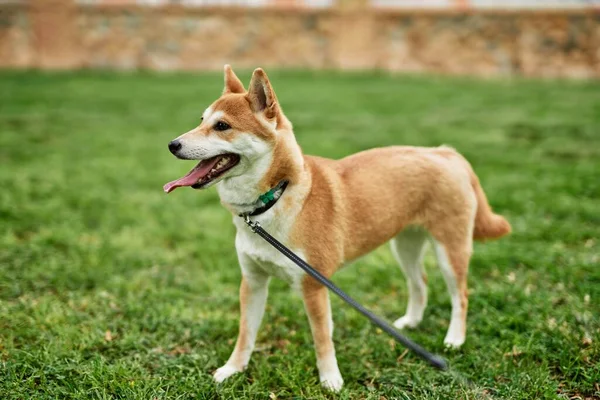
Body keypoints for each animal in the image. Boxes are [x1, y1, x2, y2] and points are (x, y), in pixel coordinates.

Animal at [163, 65, 510, 390]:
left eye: (222, 126)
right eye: (202, 120)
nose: (172, 144)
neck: (273, 199)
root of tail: (445, 152)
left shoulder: (314, 286)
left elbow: (322, 339)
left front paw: (331, 379)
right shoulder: (252, 281)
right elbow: (245, 334)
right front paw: (233, 369)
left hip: (450, 250)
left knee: (460, 295)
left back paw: (454, 339)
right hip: (404, 245)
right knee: (420, 283)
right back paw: (410, 322)